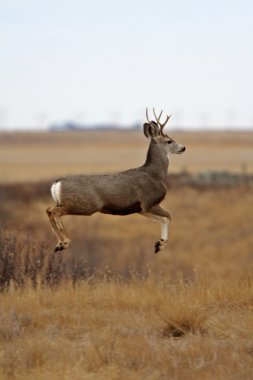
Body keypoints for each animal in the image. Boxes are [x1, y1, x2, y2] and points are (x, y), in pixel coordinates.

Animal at [46, 108, 186, 254]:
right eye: (169, 141)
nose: (183, 148)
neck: (156, 174)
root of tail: (56, 184)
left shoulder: (141, 209)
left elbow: (163, 219)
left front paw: (158, 244)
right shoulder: (149, 201)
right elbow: (169, 215)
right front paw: (160, 244)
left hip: (67, 203)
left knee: (48, 210)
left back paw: (59, 244)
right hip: (83, 205)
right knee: (53, 211)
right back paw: (65, 242)